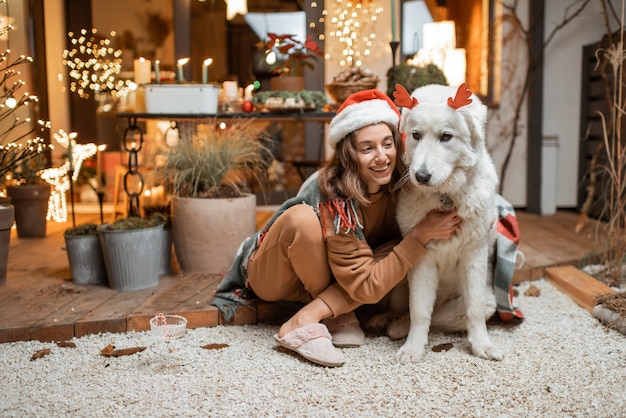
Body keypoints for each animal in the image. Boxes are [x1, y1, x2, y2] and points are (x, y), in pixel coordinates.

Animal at [380, 84, 502, 362]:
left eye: (446, 137)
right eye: (416, 135)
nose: (421, 176)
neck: (446, 197)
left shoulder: (474, 257)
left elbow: (473, 310)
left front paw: (482, 345)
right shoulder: (422, 261)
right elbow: (419, 311)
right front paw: (413, 348)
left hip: (488, 301)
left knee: (443, 316)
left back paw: (396, 327)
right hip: (400, 284)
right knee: (408, 310)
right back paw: (387, 321)